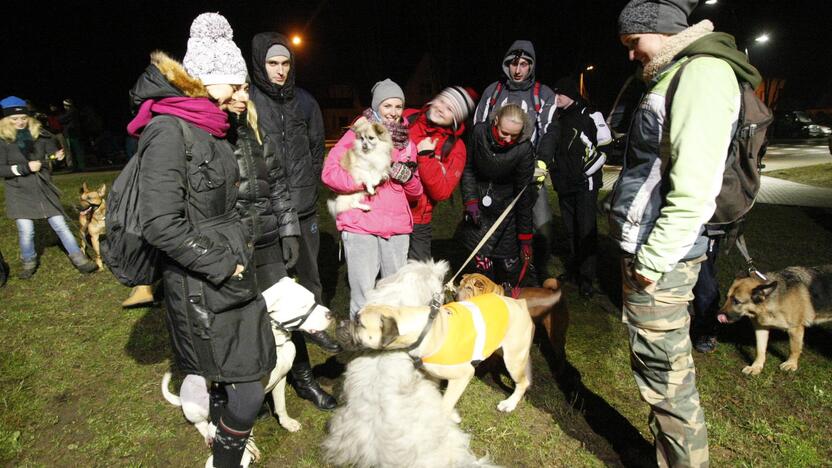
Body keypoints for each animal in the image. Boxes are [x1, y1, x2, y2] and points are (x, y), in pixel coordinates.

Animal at [161, 278, 334, 464]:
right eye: (302, 306)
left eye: (313, 298)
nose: (331, 314)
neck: (275, 344)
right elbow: (242, 431)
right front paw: (249, 449)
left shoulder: (280, 379)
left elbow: (281, 405)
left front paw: (287, 423)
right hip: (195, 406)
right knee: (201, 424)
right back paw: (208, 435)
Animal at [338, 294, 532, 422]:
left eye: (359, 323)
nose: (341, 322)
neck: (424, 331)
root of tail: (520, 303)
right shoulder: (432, 376)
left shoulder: (462, 376)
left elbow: (445, 405)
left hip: (513, 359)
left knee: (523, 383)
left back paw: (509, 404)